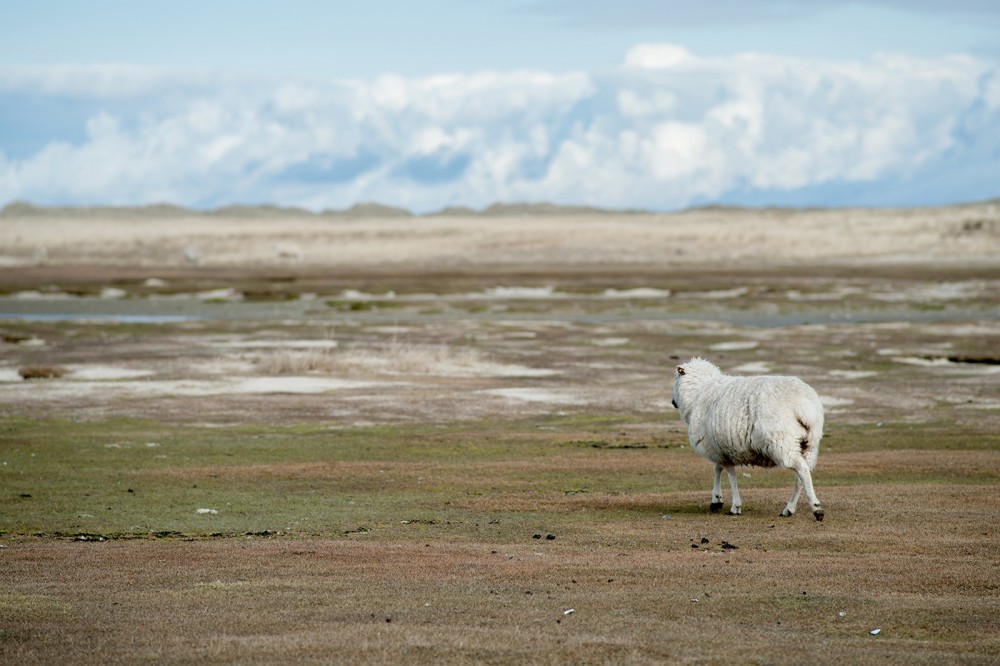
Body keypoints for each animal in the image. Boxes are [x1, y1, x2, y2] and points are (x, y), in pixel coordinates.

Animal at [672, 358, 828, 520]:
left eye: (676, 378)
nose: (673, 402)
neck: (699, 391)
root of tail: (804, 406)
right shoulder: (720, 449)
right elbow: (718, 469)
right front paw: (717, 500)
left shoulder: (719, 449)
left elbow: (729, 474)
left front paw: (733, 505)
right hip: (809, 444)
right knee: (802, 474)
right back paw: (789, 508)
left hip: (782, 442)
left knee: (802, 469)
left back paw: (816, 508)